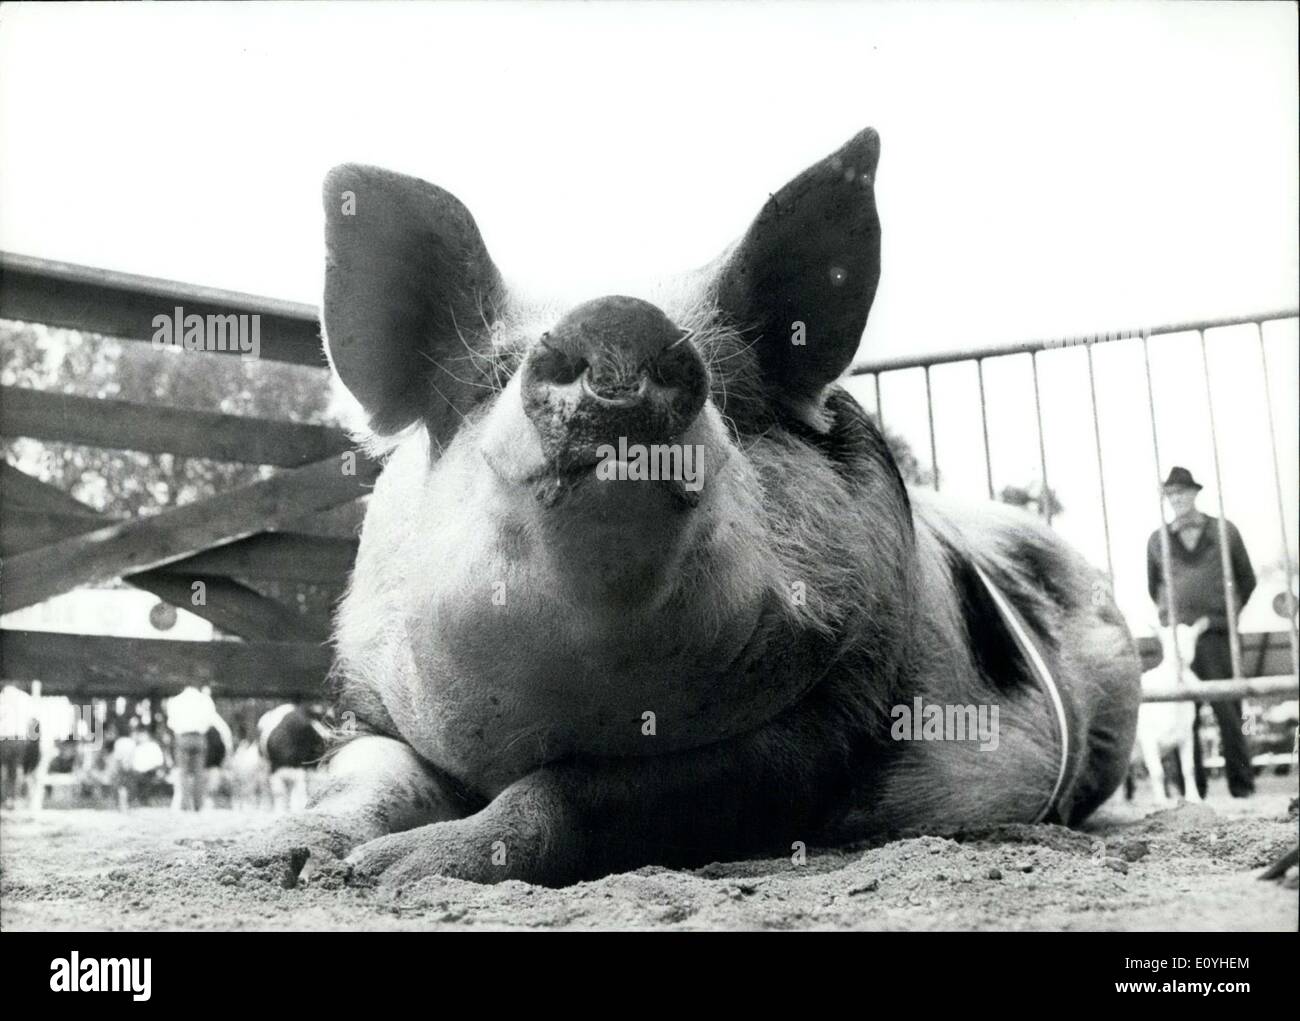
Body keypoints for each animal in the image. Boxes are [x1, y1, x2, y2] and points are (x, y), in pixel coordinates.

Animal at [241, 127, 1138, 889]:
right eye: (489, 374)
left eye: (730, 386)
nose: (616, 318)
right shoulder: (370, 704)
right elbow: (364, 782)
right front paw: (292, 862)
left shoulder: (827, 717)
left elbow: (587, 793)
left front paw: (395, 872)